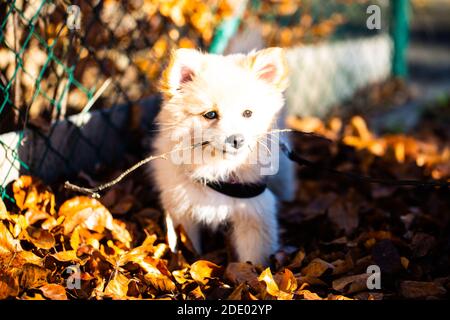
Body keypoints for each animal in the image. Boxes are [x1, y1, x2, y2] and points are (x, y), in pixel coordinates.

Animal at [152, 47, 296, 262]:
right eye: (210, 114)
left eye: (247, 113)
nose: (237, 139)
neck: (219, 171)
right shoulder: (182, 212)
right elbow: (189, 247)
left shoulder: (254, 213)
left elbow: (254, 258)